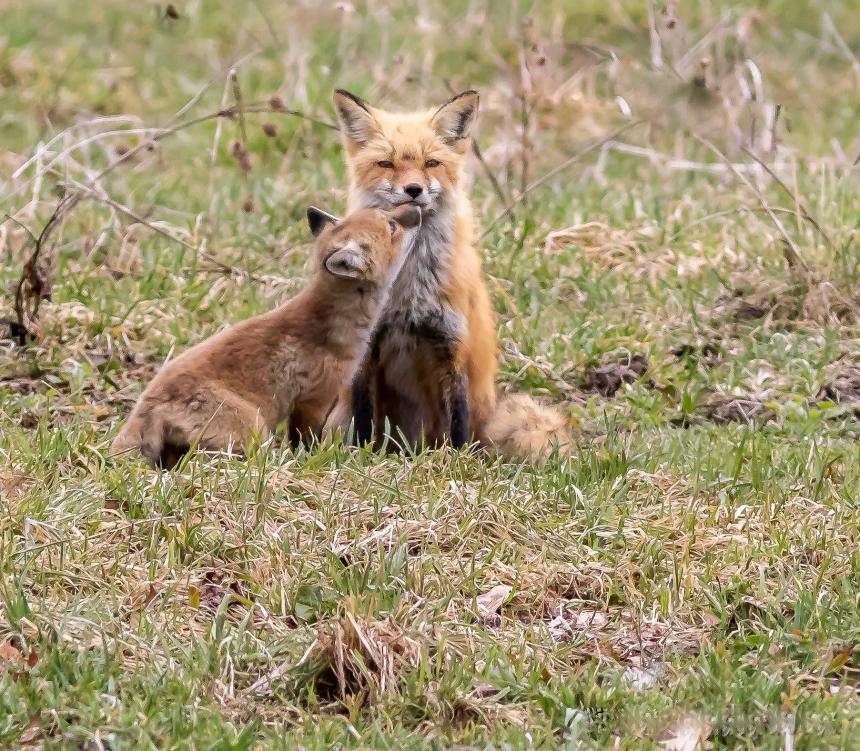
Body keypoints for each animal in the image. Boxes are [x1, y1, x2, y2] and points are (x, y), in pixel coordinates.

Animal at [112, 203, 422, 468]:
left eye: (388, 214)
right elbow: (306, 441)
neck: (331, 327)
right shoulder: (314, 399)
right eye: (392, 226)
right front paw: (315, 460)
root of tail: (147, 405)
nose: (416, 205)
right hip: (253, 430)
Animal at [326, 91, 568, 462]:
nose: (413, 189)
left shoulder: (453, 346)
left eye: (431, 163)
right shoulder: (366, 349)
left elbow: (457, 421)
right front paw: (362, 456)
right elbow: (363, 416)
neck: (408, 288)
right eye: (386, 164)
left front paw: (457, 462)